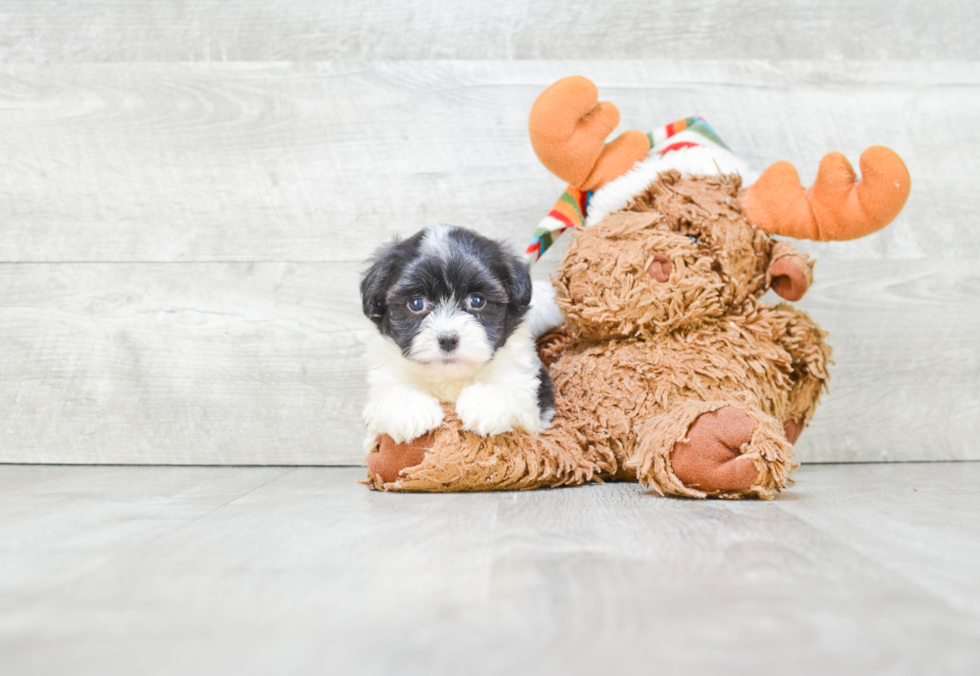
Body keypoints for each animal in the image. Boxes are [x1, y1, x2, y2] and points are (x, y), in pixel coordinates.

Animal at [358, 223, 560, 448]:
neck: (450, 377)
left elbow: (515, 392)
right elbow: (389, 391)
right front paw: (411, 409)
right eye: (416, 303)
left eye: (476, 301)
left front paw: (485, 402)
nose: (448, 340)